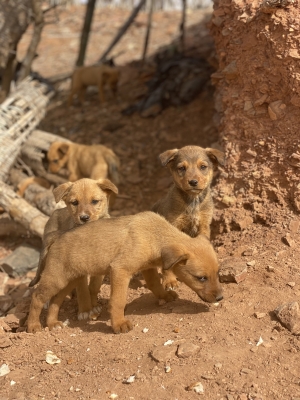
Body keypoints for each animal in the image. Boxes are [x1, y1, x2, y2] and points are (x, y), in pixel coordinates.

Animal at [27, 212, 223, 334]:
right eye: (201, 278)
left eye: (218, 273)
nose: (221, 298)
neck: (155, 235)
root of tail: (56, 236)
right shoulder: (120, 270)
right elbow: (118, 301)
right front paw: (119, 324)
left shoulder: (148, 268)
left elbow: (155, 285)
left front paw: (166, 296)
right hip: (56, 278)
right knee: (37, 297)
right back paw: (33, 325)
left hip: (69, 280)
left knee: (55, 301)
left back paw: (52, 324)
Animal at [28, 178, 117, 322]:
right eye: (75, 202)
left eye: (94, 201)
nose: (84, 217)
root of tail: (56, 211)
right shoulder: (78, 266)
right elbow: (83, 290)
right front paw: (86, 310)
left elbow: (93, 287)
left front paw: (93, 307)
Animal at [152, 145, 225, 290]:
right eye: (182, 168)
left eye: (203, 167)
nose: (193, 182)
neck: (193, 201)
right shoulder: (173, 225)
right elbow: (168, 264)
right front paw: (169, 280)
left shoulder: (204, 224)